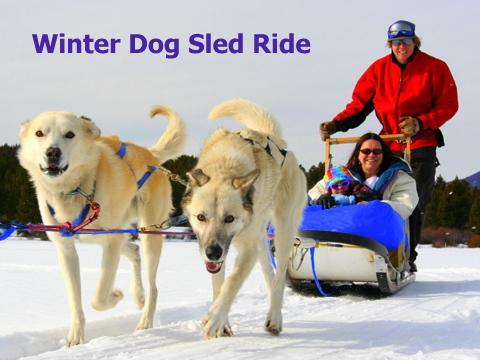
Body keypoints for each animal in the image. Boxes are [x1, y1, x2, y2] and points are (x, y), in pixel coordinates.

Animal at [16, 107, 187, 346]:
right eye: (39, 133)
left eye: (70, 134)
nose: (52, 152)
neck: (76, 190)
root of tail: (149, 155)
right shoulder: (66, 250)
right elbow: (75, 300)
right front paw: (75, 337)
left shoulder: (111, 242)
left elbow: (98, 297)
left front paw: (115, 296)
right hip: (120, 233)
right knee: (134, 252)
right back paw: (138, 295)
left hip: (148, 235)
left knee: (153, 286)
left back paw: (144, 322)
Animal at [182, 98, 306, 338]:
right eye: (201, 217)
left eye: (229, 218)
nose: (212, 253)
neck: (225, 166)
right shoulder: (223, 257)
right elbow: (218, 285)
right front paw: (223, 324)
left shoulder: (247, 249)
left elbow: (232, 282)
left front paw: (215, 318)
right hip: (261, 239)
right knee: (270, 274)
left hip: (283, 230)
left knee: (279, 278)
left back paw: (275, 318)